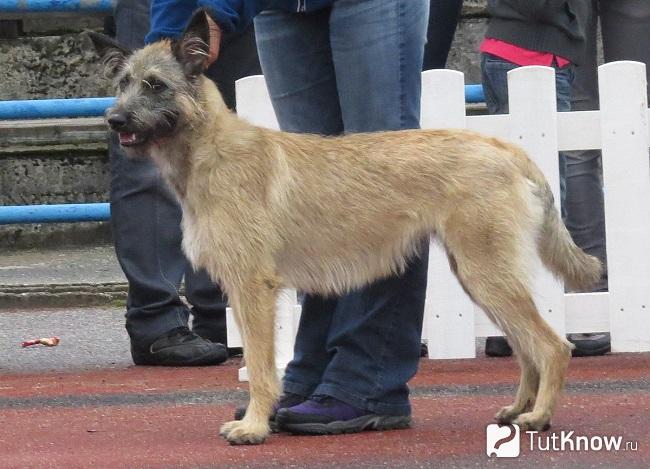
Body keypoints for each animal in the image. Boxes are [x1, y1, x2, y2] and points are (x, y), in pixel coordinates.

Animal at [88, 11, 600, 442]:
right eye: (123, 82)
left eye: (156, 85)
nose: (113, 119)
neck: (208, 150)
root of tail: (505, 148)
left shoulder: (252, 289)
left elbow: (260, 367)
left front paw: (254, 426)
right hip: (481, 277)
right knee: (527, 347)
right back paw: (518, 410)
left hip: (488, 274)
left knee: (551, 346)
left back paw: (539, 416)